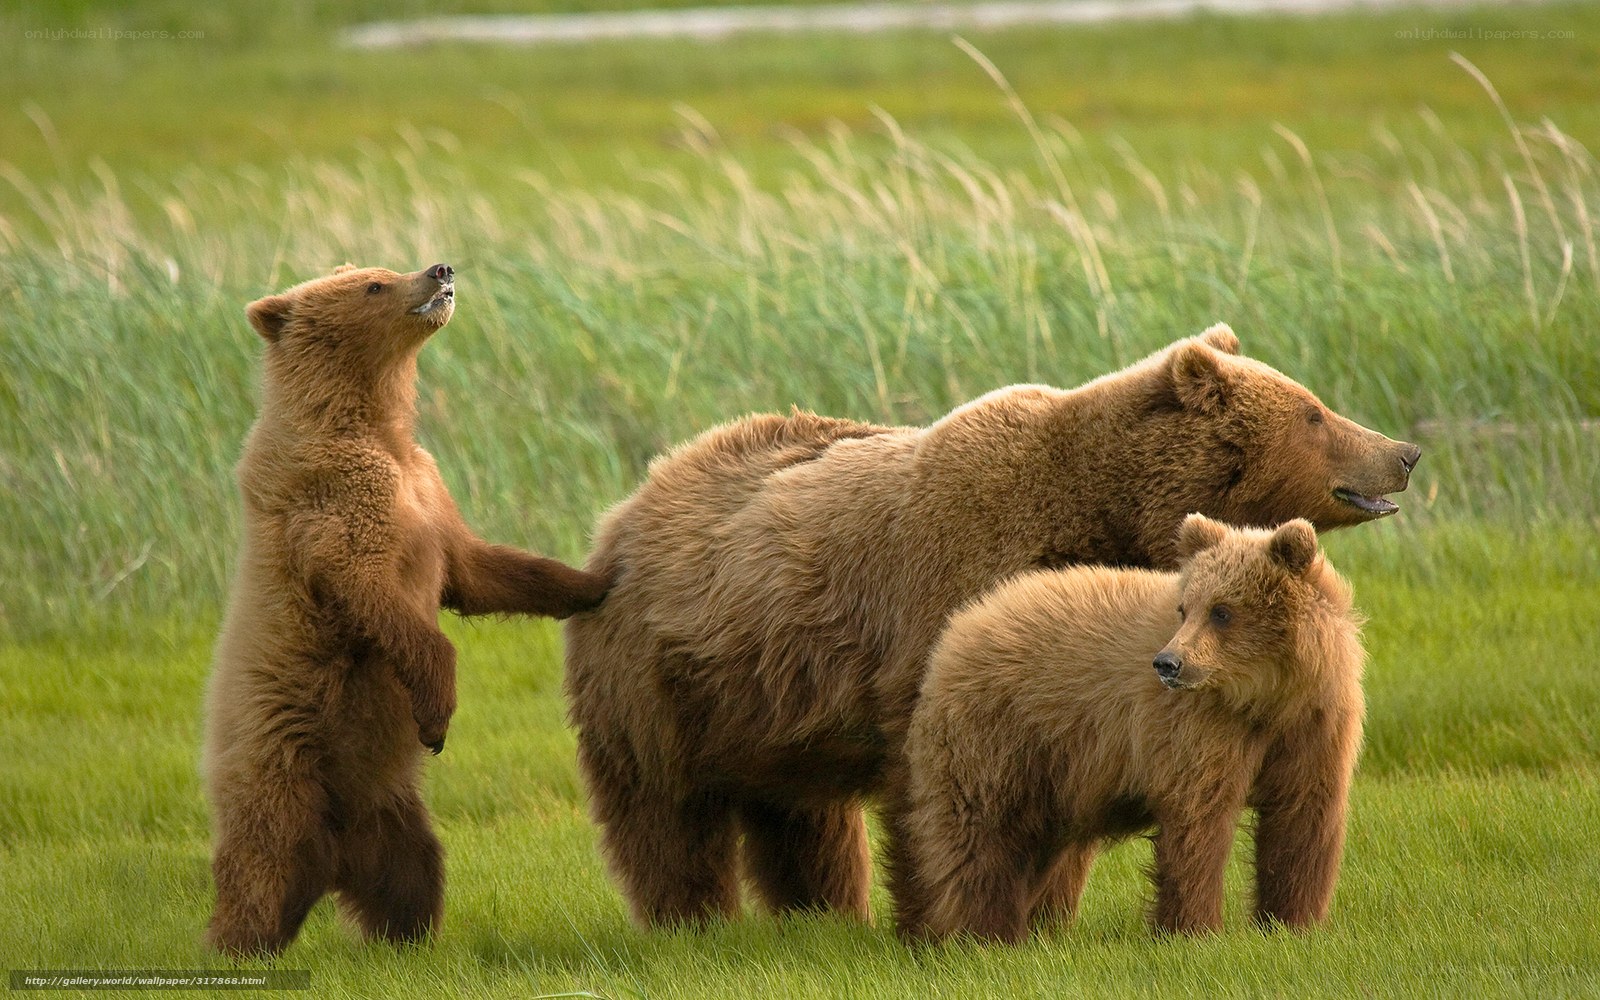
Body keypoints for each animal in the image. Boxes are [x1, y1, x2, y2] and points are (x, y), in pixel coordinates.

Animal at [203, 262, 610, 956]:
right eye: (373, 285)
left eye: (384, 269)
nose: (439, 268)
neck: (374, 425)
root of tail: (329, 863)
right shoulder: (338, 502)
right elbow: (375, 592)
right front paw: (438, 713)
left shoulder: (427, 488)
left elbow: (479, 571)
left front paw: (596, 581)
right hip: (282, 765)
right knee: (259, 865)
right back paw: (235, 944)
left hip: (388, 808)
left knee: (413, 869)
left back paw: (407, 938)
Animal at [895, 514, 1365, 944]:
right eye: (1185, 608)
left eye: (1222, 611)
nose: (1168, 663)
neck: (1267, 697)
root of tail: (959, 627)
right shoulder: (1200, 727)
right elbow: (1199, 819)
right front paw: (1195, 929)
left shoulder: (1316, 723)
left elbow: (1302, 817)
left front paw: (1292, 923)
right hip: (998, 736)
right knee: (983, 835)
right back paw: (988, 933)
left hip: (1056, 773)